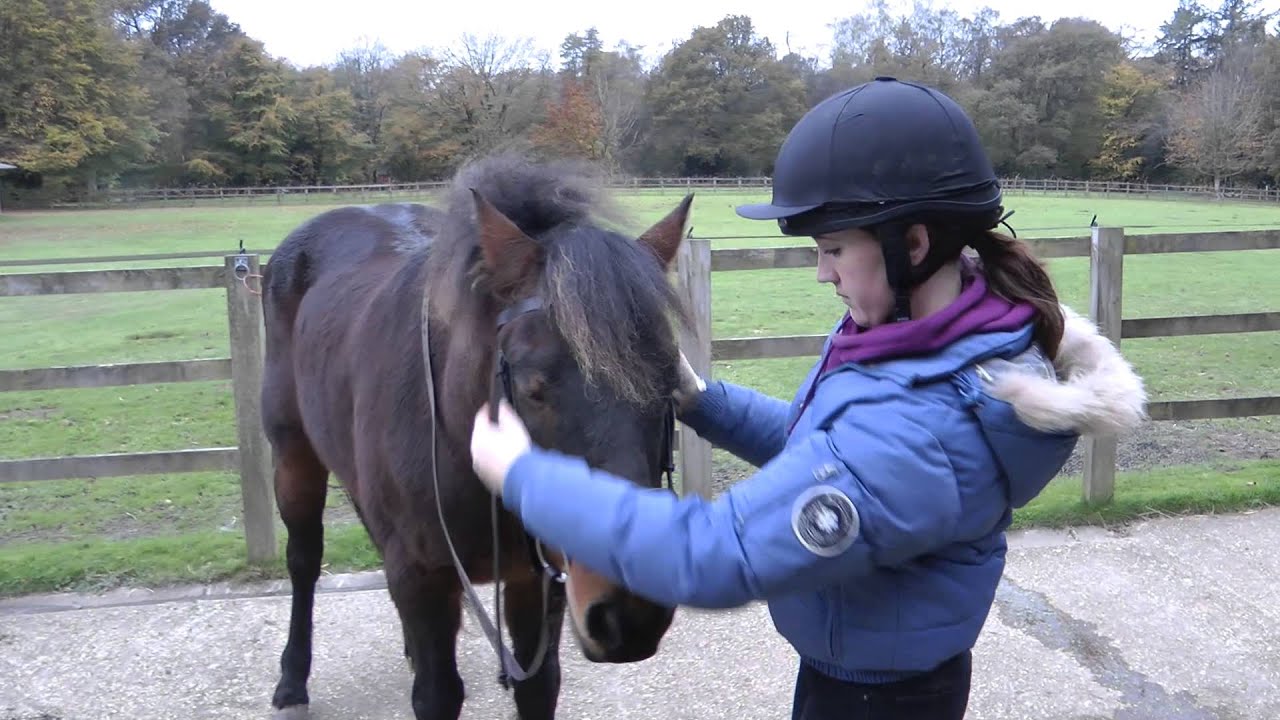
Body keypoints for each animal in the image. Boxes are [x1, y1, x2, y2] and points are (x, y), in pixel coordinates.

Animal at [259, 152, 696, 717]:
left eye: (669, 384)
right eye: (533, 387)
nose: (631, 615)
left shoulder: (539, 580)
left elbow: (538, 684)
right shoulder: (423, 578)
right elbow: (438, 693)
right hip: (293, 457)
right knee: (304, 558)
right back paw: (293, 678)